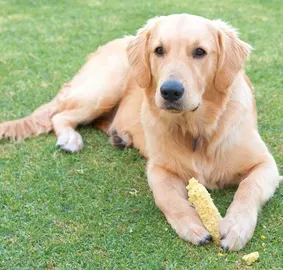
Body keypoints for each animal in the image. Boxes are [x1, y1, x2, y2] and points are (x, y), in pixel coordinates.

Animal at [1, 14, 282, 251]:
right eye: (159, 50)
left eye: (200, 52)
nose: (170, 91)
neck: (196, 131)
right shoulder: (159, 168)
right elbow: (167, 198)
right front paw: (192, 226)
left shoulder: (266, 165)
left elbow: (248, 187)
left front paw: (235, 227)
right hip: (104, 88)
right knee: (60, 115)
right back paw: (71, 138)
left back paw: (119, 136)